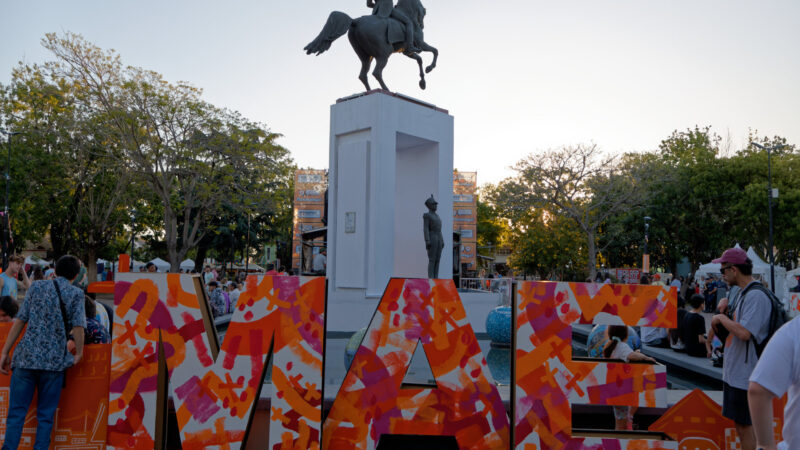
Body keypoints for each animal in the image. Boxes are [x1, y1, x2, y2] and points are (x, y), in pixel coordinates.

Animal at [304, 0, 438, 92]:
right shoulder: (421, 44)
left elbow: (419, 59)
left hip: (365, 56)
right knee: (376, 72)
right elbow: (435, 51)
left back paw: (369, 91)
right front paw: (429, 68)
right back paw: (386, 89)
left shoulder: (406, 51)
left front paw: (422, 83)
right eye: (424, 11)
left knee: (363, 75)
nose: (422, 25)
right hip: (383, 54)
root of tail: (355, 21)